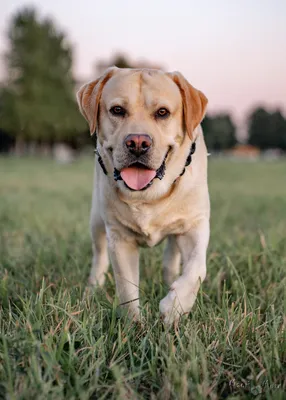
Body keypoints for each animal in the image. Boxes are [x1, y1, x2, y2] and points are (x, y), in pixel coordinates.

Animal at [76, 66, 210, 324]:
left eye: (162, 112)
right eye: (117, 110)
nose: (138, 142)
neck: (148, 196)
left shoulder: (195, 224)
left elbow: (197, 267)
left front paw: (175, 306)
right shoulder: (119, 237)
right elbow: (127, 288)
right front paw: (134, 325)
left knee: (172, 256)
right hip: (96, 219)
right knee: (99, 255)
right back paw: (92, 288)